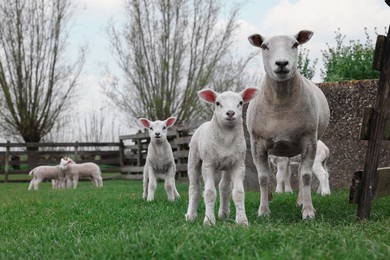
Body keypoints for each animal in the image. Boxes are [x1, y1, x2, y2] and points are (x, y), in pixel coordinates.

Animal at [185, 87, 258, 225]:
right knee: (194, 188)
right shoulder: (208, 164)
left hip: (227, 165)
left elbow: (238, 193)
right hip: (193, 159)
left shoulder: (238, 165)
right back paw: (191, 215)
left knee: (224, 187)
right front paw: (209, 221)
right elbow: (209, 193)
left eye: (240, 102)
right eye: (217, 103)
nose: (230, 113)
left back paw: (223, 214)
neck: (226, 140)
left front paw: (242, 221)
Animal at [247, 31, 330, 221]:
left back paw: (301, 200)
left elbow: (305, 176)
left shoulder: (308, 139)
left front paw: (308, 211)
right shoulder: (257, 143)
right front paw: (263, 211)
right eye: (264, 46)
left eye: (295, 45)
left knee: (302, 173)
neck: (281, 103)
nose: (282, 63)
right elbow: (263, 178)